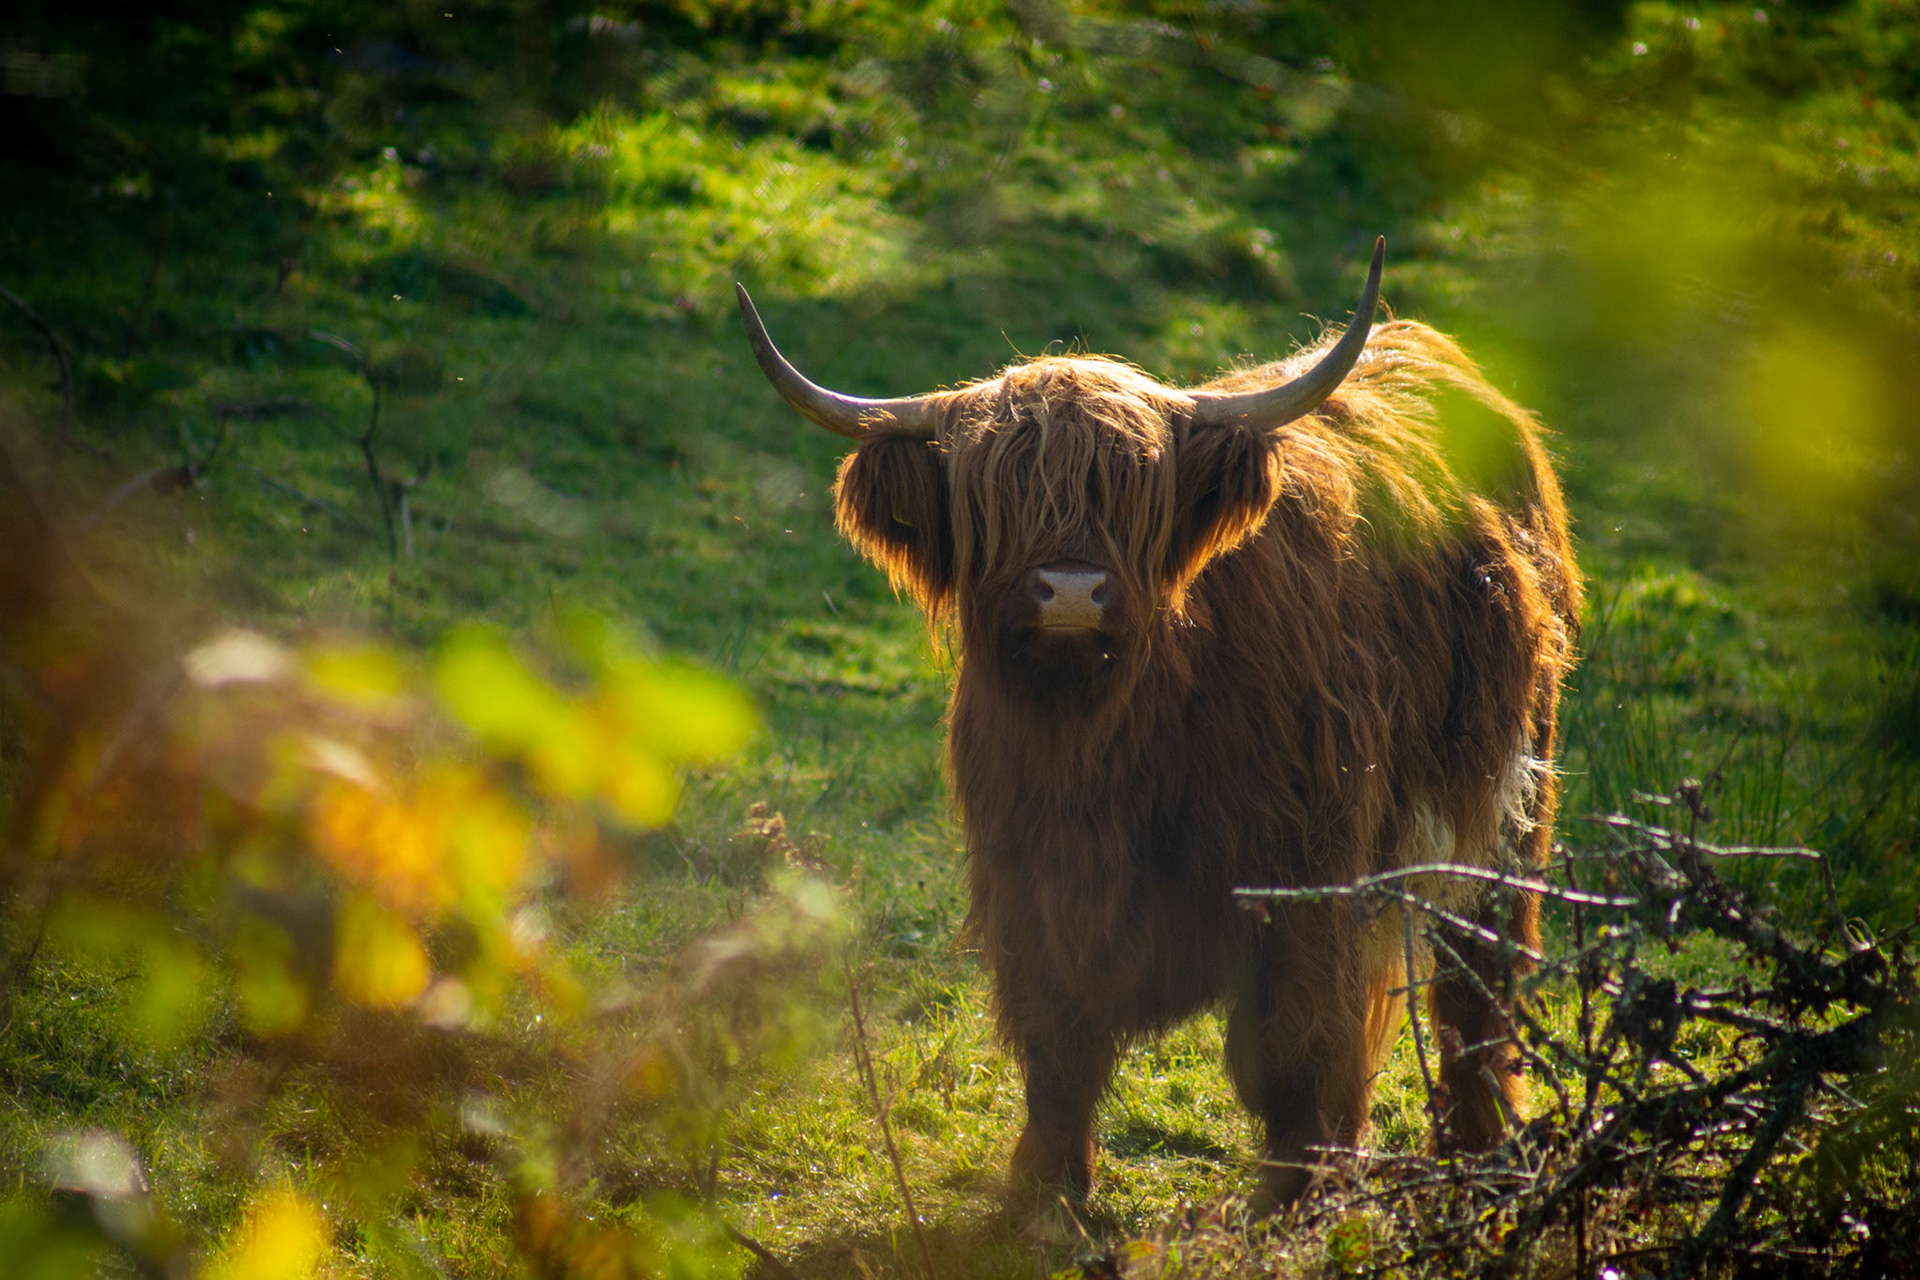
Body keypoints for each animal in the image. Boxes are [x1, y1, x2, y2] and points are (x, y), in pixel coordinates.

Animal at [736, 239, 1581, 1211]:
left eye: (1133, 494)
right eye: (996, 498)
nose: (1069, 589)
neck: (1108, 744)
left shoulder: (1304, 871)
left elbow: (1292, 1040)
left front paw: (1295, 1194)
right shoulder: (1028, 876)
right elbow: (1058, 1040)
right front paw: (1046, 1189)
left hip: (1512, 793)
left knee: (1479, 976)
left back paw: (1481, 1153)